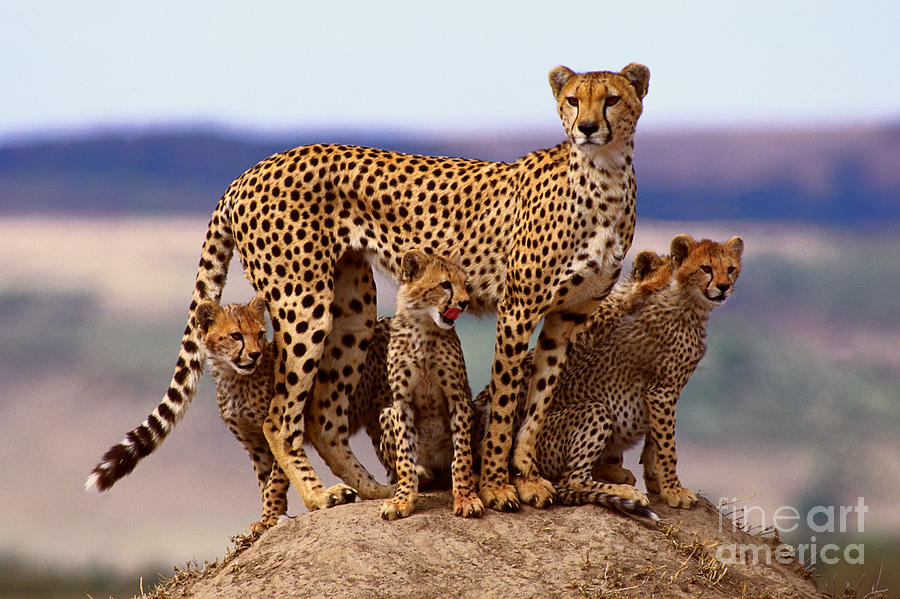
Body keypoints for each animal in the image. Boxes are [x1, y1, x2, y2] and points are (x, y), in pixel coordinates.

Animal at [86, 65, 648, 516]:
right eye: (573, 99)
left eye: (611, 99)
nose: (587, 128)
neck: (605, 177)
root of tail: (247, 172)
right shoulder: (518, 309)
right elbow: (508, 403)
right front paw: (497, 487)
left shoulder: (567, 317)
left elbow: (537, 402)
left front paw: (527, 477)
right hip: (302, 303)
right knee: (280, 416)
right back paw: (321, 496)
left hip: (352, 307)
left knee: (321, 415)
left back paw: (379, 490)